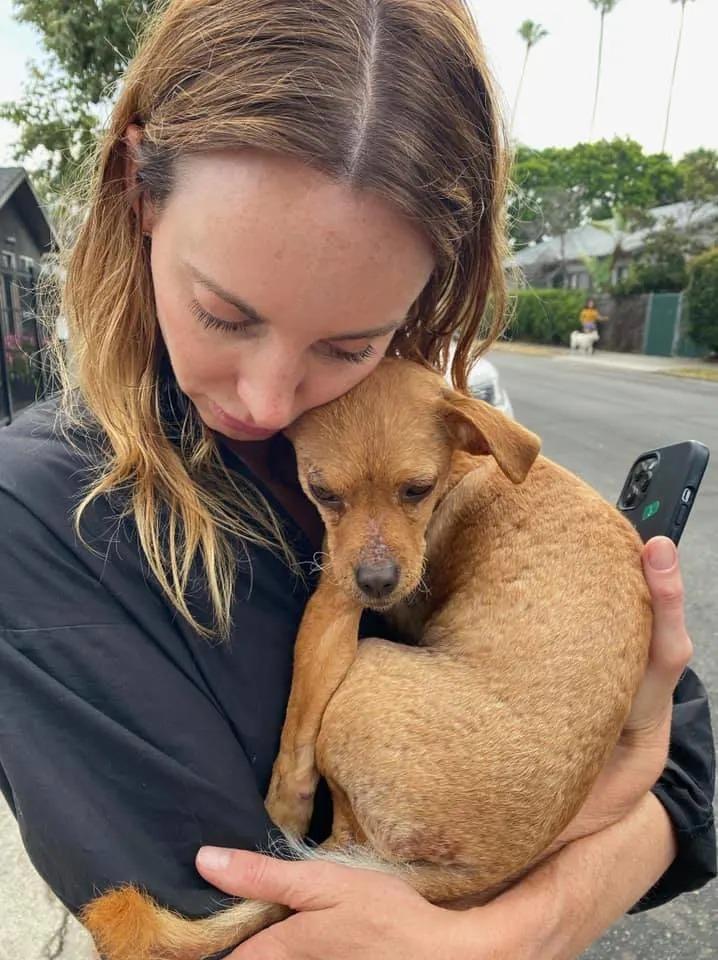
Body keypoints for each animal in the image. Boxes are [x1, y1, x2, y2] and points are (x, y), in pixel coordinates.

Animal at [83, 356, 652, 956]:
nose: (377, 583)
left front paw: (281, 811)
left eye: (418, 489)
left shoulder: (332, 607)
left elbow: (295, 740)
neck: (469, 462)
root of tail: (470, 873)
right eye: (323, 492)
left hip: (367, 669)